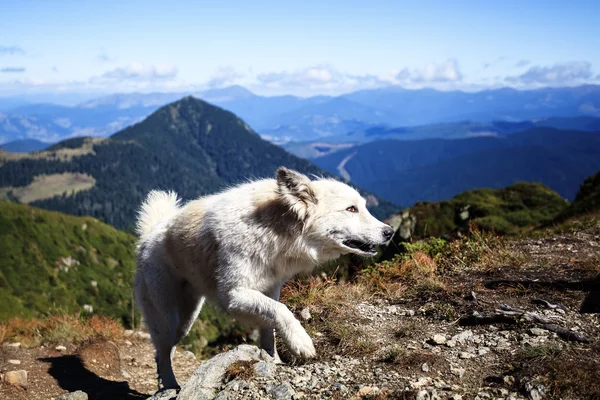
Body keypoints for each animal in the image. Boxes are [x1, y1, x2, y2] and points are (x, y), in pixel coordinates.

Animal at [133, 166, 392, 390]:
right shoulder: (233, 296)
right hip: (169, 319)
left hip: (186, 320)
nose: (389, 232)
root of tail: (150, 233)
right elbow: (282, 311)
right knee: (162, 351)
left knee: (164, 351)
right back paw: (170, 385)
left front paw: (273, 360)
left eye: (363, 207)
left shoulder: (269, 290)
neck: (275, 230)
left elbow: (269, 326)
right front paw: (301, 343)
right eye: (351, 209)